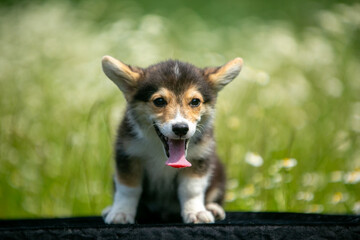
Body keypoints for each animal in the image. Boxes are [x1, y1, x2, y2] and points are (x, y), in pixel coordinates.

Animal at [100, 55, 243, 224]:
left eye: (195, 101)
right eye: (159, 101)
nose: (181, 128)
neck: (161, 153)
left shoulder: (199, 157)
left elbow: (191, 189)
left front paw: (196, 212)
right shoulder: (128, 155)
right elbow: (128, 189)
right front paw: (120, 213)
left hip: (219, 173)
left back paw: (213, 208)